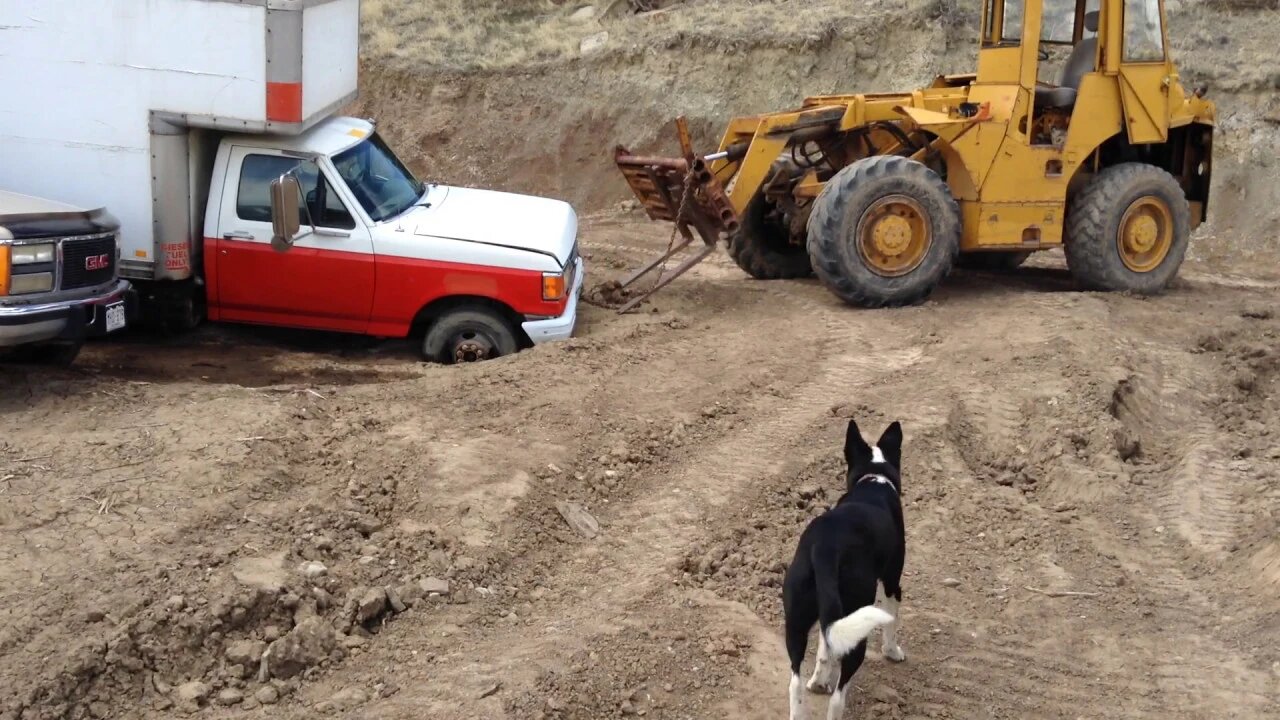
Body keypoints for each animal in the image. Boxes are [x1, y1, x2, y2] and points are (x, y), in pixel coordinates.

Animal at [783, 417, 906, 712]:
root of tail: (825, 547)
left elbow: (825, 649)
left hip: (797, 619)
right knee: (839, 698)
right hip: (857, 617)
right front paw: (892, 652)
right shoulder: (892, 583)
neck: (874, 480)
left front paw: (818, 680)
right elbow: (891, 622)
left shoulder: (831, 614)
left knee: (794, 682)